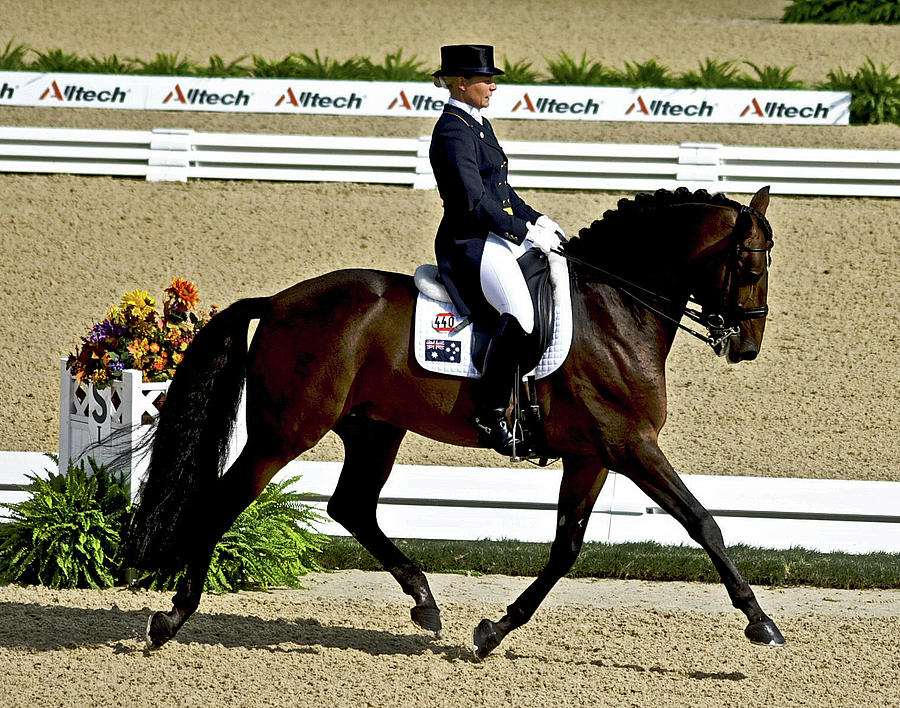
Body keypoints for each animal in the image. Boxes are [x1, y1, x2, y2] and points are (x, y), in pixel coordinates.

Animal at [123, 184, 784, 660]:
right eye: (751, 269)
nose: (746, 346)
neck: (615, 308)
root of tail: (281, 301)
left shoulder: (592, 454)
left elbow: (566, 547)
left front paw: (493, 632)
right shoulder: (630, 445)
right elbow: (704, 523)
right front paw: (761, 622)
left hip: (374, 428)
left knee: (352, 505)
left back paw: (424, 600)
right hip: (284, 432)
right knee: (227, 498)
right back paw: (171, 618)